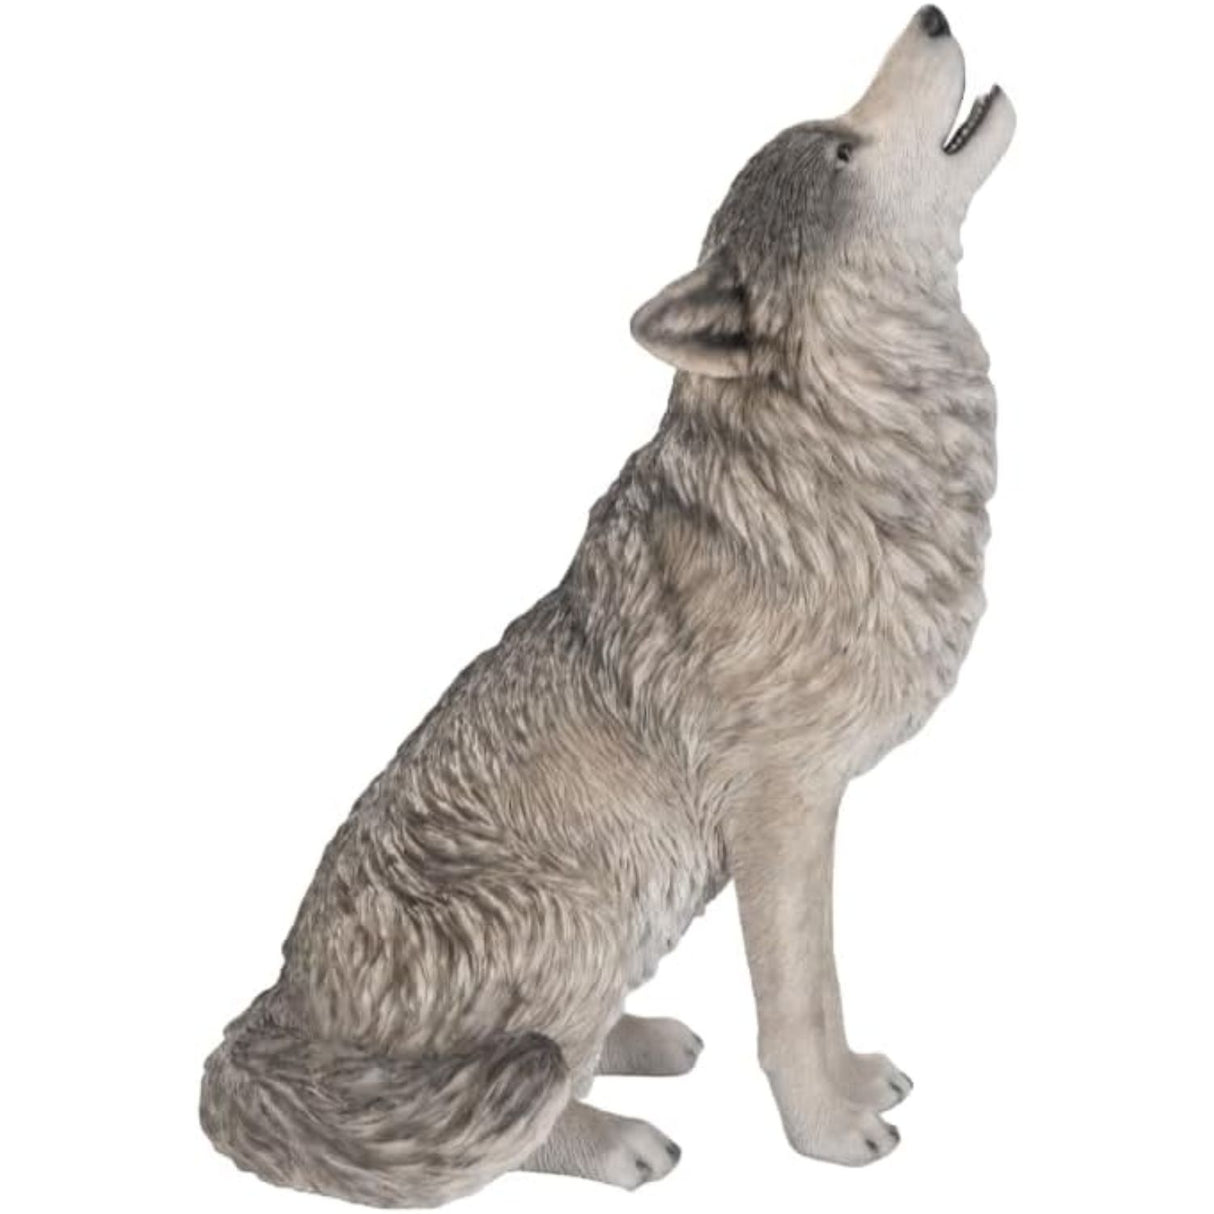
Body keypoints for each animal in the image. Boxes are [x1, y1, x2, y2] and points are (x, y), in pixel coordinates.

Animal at [200, 6, 1014, 1206]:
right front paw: (826, 1133)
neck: (842, 449)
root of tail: (271, 1017)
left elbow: (820, 982)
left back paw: (642, 1038)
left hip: (643, 892)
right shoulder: (781, 812)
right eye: (841, 150)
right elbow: (796, 996)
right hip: (578, 900)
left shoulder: (807, 818)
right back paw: (618, 1133)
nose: (931, 16)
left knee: (566, 1048)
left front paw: (853, 1079)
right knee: (518, 1108)